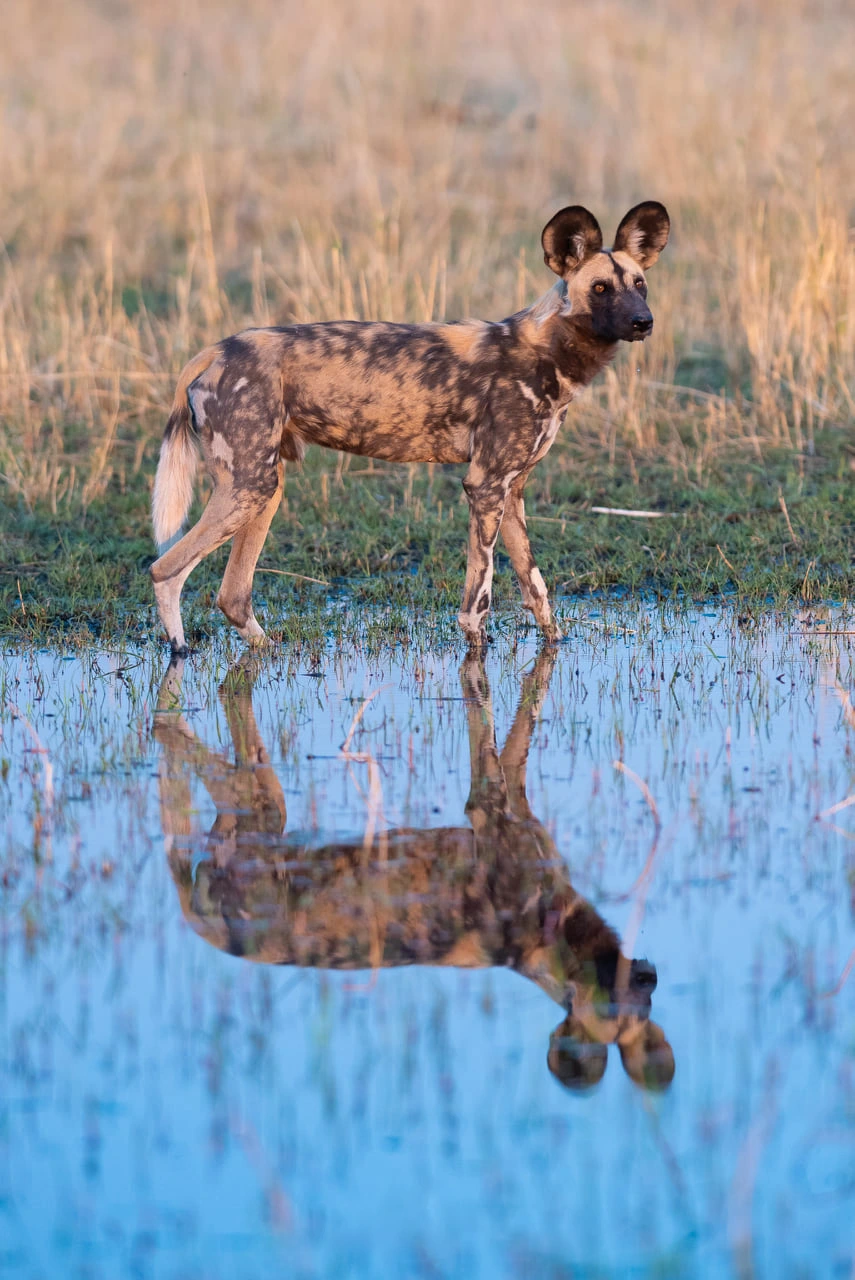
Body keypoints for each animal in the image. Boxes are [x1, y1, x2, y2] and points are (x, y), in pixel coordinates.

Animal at [150, 207, 665, 660]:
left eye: (639, 284)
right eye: (600, 288)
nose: (644, 322)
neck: (549, 350)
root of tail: (215, 350)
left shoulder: (511, 489)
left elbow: (538, 594)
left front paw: (554, 649)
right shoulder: (485, 486)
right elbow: (477, 607)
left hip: (263, 488)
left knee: (232, 595)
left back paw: (266, 651)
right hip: (247, 489)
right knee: (164, 569)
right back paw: (179, 651)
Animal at [155, 655, 675, 1095]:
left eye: (641, 1008)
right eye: (607, 992)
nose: (648, 980)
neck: (550, 943)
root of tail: (206, 929)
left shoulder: (515, 798)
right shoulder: (490, 808)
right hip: (262, 816)